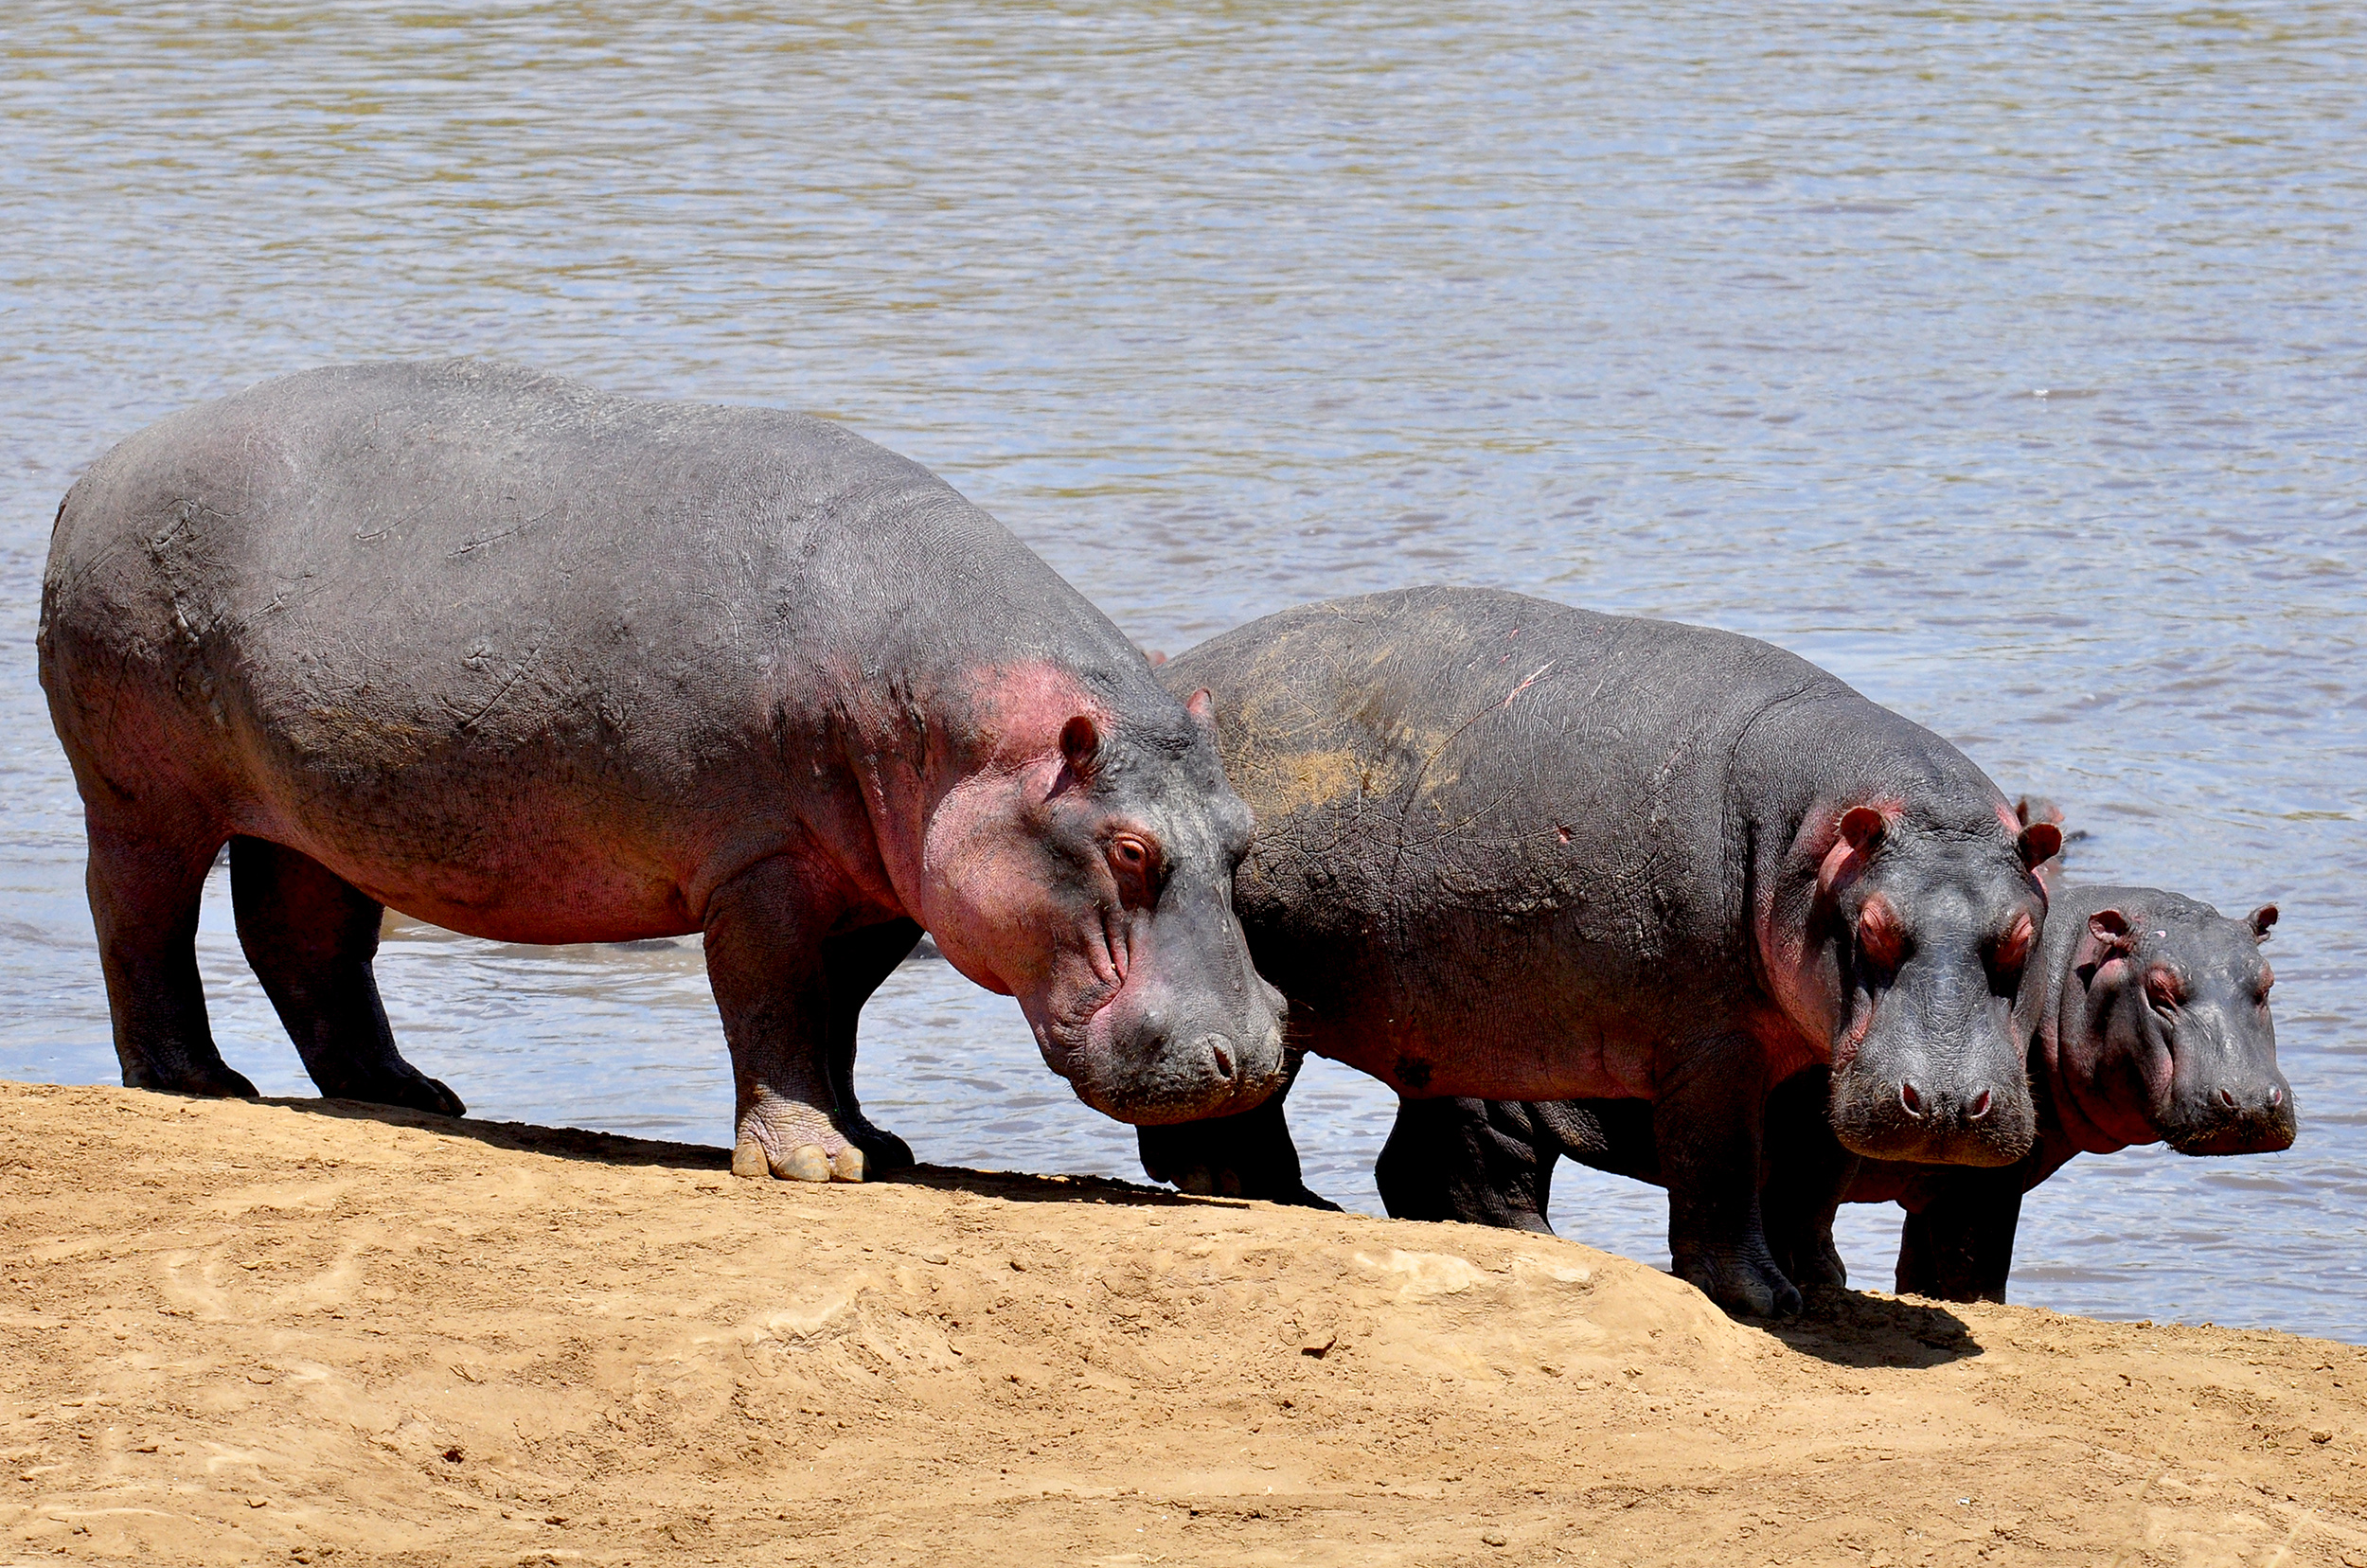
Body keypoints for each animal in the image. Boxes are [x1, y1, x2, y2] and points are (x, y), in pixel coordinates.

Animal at [42, 360, 1297, 1179]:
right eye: (1127, 848)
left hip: (315, 802)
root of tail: (96, 469)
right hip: (143, 794)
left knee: (302, 938)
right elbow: (771, 1001)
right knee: (138, 917)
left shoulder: (885, 883)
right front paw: (811, 1166)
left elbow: (835, 1014)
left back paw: (407, 1094)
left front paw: (876, 1144)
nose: (1247, 1058)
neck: (964, 735)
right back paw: (195, 1080)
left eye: (1243, 832)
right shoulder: (758, 863)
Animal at [1136, 587, 2064, 1316]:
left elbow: (1804, 1178)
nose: (1945, 1105)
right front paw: (1766, 1298)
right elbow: (1723, 1165)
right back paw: (1302, 1204)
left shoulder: (1808, 1062)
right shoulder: (1712, 1046)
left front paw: (1818, 1285)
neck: (1814, 837)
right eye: (1871, 926)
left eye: (2027, 929)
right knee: (1233, 1119)